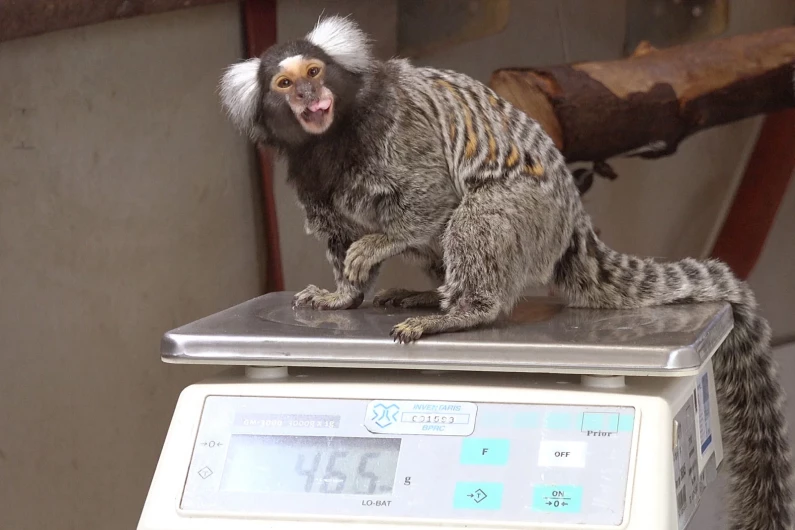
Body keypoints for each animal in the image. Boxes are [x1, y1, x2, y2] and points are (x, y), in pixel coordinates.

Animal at [220, 16, 792, 529]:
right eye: (284, 83)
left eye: (316, 70)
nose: (308, 96)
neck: (334, 134)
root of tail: (573, 217)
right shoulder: (311, 175)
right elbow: (340, 236)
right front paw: (343, 296)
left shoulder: (398, 132)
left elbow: (429, 198)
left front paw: (380, 243)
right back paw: (432, 297)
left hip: (532, 216)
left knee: (474, 215)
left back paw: (461, 312)